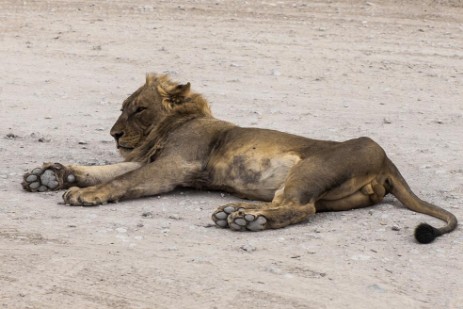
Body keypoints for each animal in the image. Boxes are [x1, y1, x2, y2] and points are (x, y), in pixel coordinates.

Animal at [21, 73, 456, 243]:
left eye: (138, 109)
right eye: (122, 109)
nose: (113, 134)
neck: (171, 126)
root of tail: (386, 161)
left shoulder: (174, 166)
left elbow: (120, 180)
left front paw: (84, 195)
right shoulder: (151, 163)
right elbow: (103, 170)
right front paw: (52, 175)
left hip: (311, 169)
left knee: (300, 209)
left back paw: (245, 219)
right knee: (299, 206)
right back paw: (238, 212)